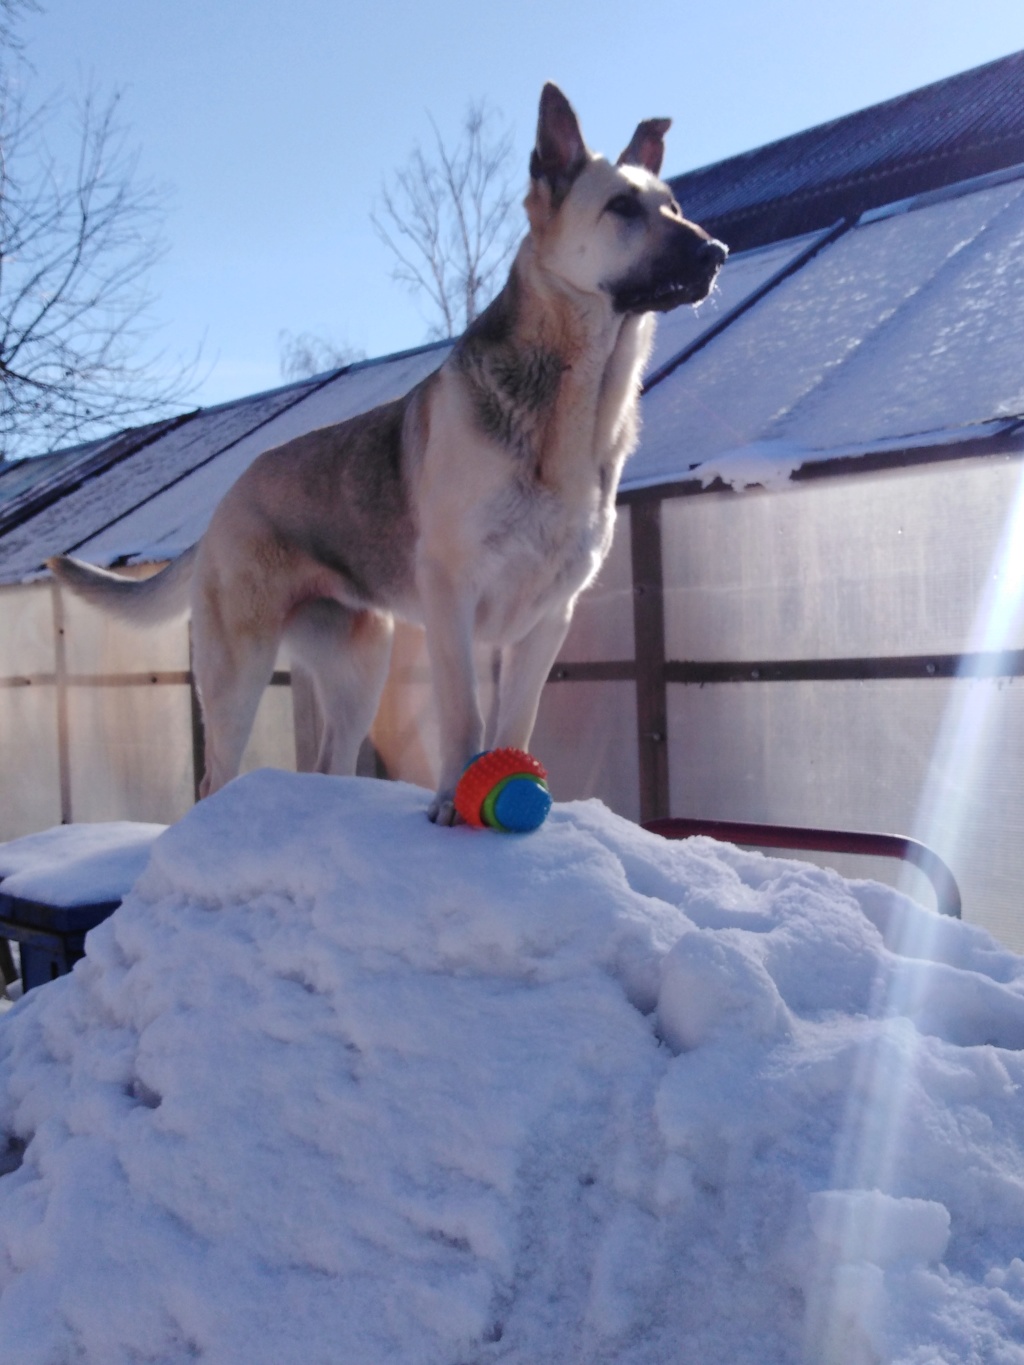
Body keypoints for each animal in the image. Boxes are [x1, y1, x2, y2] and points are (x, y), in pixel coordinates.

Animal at [50, 90, 731, 824]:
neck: (571, 403)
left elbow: (514, 725)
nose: (717, 252)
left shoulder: (547, 618)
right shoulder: (453, 599)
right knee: (214, 777)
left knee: (329, 760)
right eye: (622, 208)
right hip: (240, 670)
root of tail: (225, 502)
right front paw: (451, 803)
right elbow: (464, 717)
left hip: (360, 665)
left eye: (673, 205)